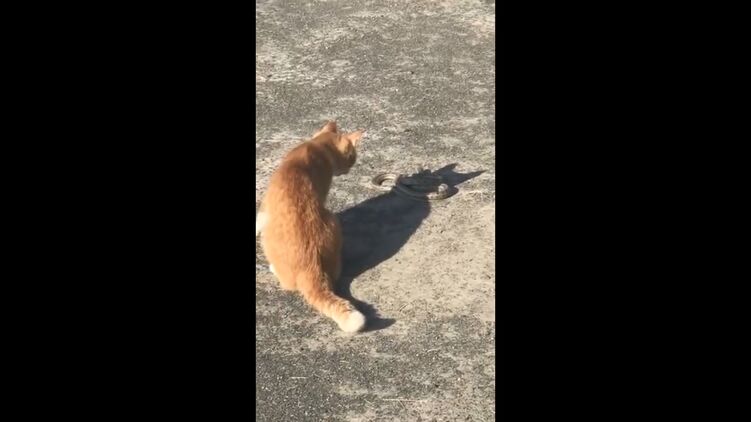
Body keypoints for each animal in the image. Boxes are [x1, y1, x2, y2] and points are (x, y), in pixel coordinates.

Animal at [256, 121, 366, 332]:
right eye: (352, 158)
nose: (349, 169)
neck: (316, 146)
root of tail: (311, 267)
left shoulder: (264, 209)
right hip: (332, 222)